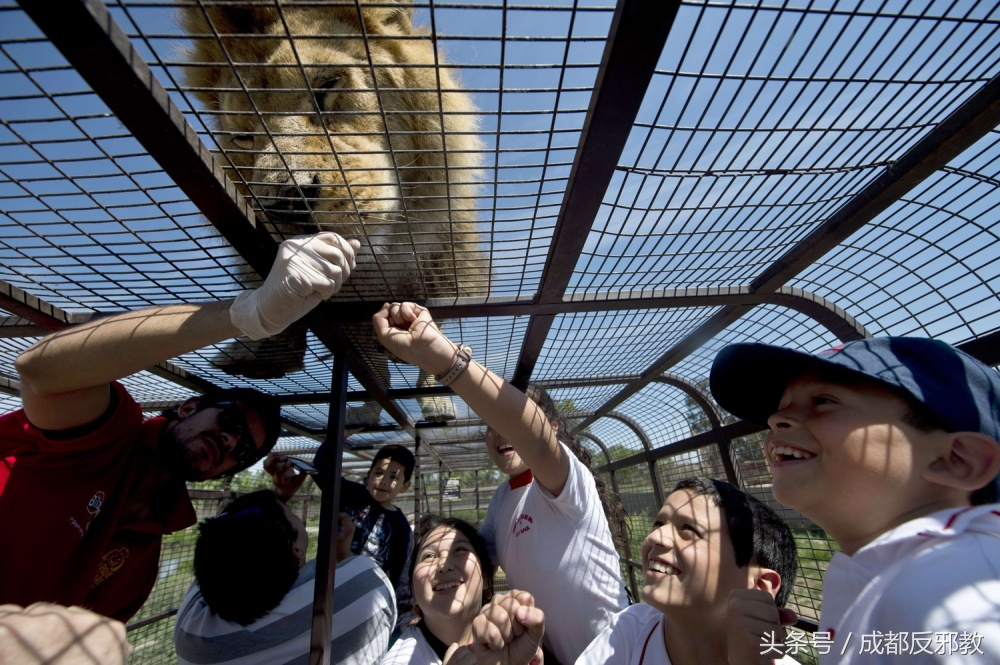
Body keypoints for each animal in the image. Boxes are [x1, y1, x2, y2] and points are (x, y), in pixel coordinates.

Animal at [182, 1, 490, 426]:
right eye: (243, 136)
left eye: (327, 86)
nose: (283, 203)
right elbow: (372, 369)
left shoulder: (447, 271)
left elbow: (430, 333)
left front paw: (435, 396)